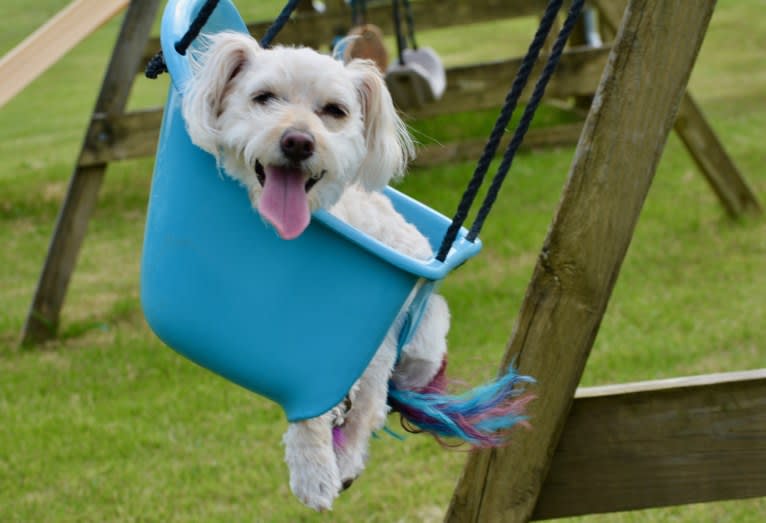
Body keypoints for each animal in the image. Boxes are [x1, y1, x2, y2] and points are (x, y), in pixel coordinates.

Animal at [182, 32, 452, 512]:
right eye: (264, 98)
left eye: (334, 111)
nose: (298, 142)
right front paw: (319, 465)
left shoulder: (368, 346)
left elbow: (357, 406)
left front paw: (328, 466)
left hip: (422, 344)